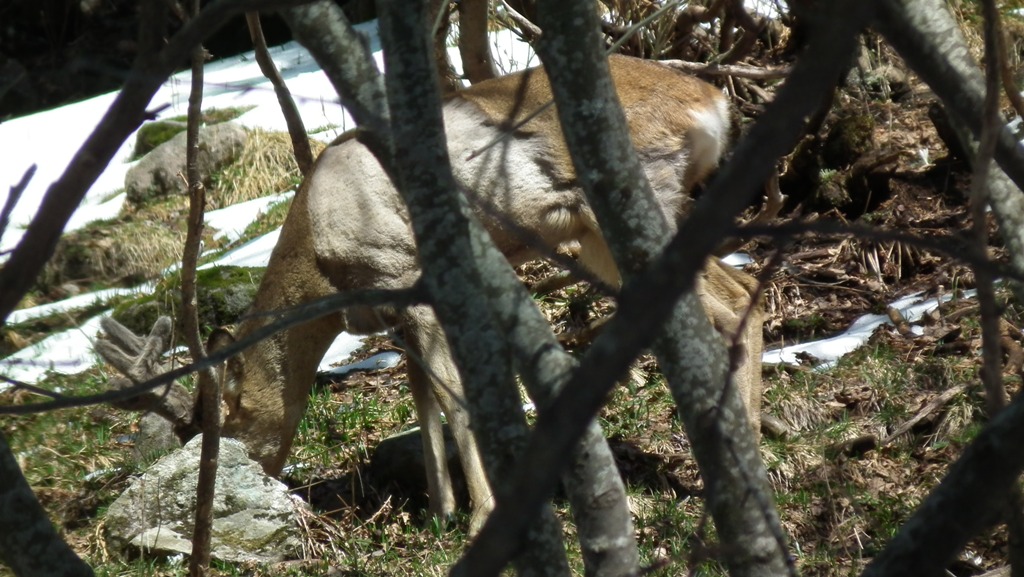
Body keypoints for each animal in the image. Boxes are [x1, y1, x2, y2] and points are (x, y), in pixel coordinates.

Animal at [97, 54, 770, 532]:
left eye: (221, 428)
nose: (225, 493)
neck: (324, 256)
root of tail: (714, 102)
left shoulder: (413, 283)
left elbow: (454, 400)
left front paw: (477, 517)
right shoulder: (396, 313)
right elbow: (421, 401)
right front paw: (440, 512)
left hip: (638, 200)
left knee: (740, 293)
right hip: (597, 236)